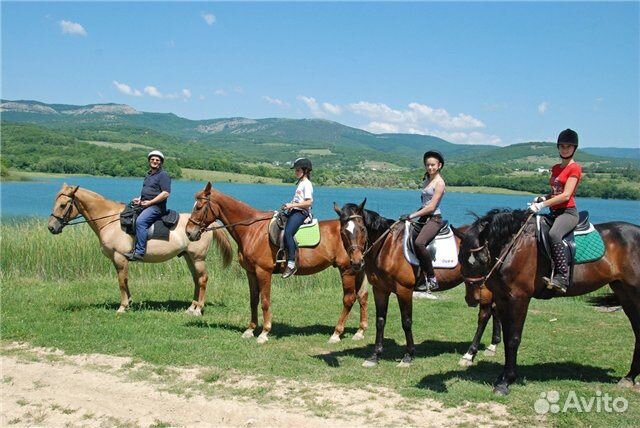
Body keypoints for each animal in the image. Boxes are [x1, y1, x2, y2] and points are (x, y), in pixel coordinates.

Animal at [47, 184, 234, 314]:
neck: (110, 220)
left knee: (203, 280)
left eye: (63, 205)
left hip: (198, 258)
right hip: (189, 257)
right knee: (197, 279)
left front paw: (122, 307)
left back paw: (198, 309)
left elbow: (122, 281)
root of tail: (206, 226)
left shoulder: (120, 257)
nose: (51, 227)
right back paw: (191, 307)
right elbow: (124, 281)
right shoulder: (118, 259)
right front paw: (129, 302)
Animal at [182, 183, 368, 344]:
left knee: (349, 298)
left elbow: (265, 301)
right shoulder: (251, 272)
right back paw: (360, 332)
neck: (252, 230)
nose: (189, 233)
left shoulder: (263, 271)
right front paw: (250, 330)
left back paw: (336, 333)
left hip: (347, 270)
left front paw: (264, 333)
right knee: (362, 296)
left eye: (199, 207)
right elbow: (253, 300)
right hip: (357, 268)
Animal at [332, 201, 502, 368]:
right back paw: (492, 346)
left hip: (483, 285)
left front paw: (408, 356)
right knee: (494, 310)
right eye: (342, 232)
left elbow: (406, 322)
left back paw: (469, 354)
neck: (388, 247)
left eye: (362, 229)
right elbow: (380, 321)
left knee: (484, 315)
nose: (356, 263)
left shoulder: (404, 290)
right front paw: (375, 356)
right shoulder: (380, 289)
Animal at [456, 207, 640, 394]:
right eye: (460, 258)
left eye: (481, 260)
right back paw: (629, 377)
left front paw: (506, 381)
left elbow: (513, 339)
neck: (514, 246)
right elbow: (506, 336)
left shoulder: (519, 298)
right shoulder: (502, 298)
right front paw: (502, 376)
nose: (473, 299)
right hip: (625, 293)